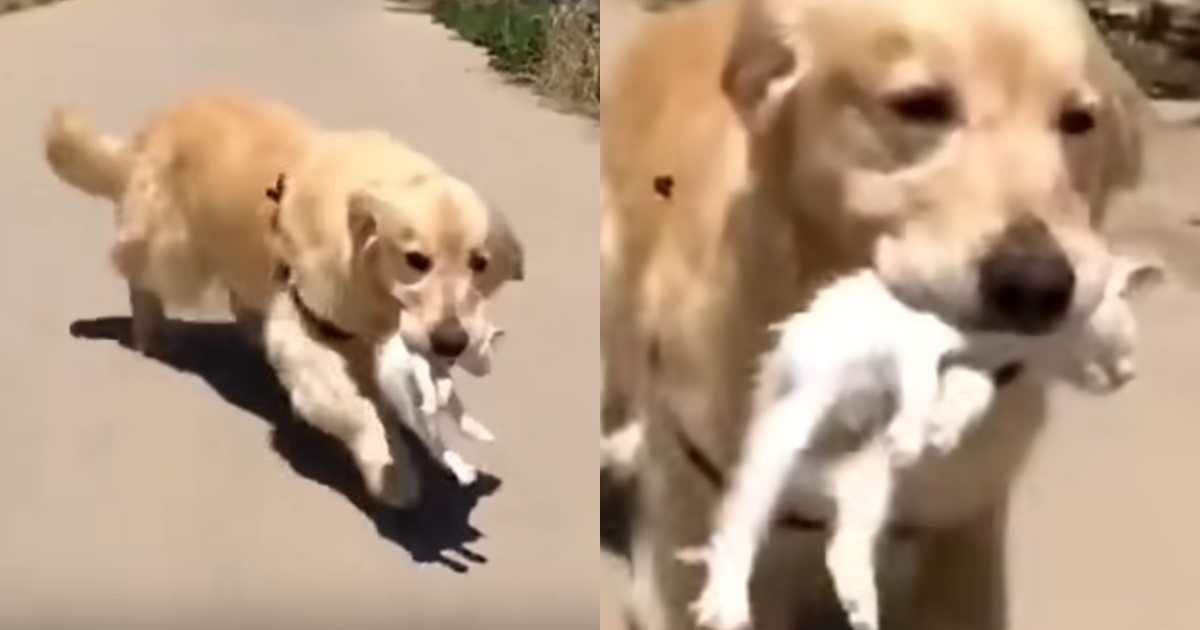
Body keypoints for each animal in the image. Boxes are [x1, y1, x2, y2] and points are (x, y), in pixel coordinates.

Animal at [46, 94, 525, 506]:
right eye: (416, 260)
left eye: (479, 263)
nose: (452, 342)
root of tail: (154, 126)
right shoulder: (310, 328)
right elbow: (357, 408)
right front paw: (392, 473)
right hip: (177, 250)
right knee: (138, 271)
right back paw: (149, 331)